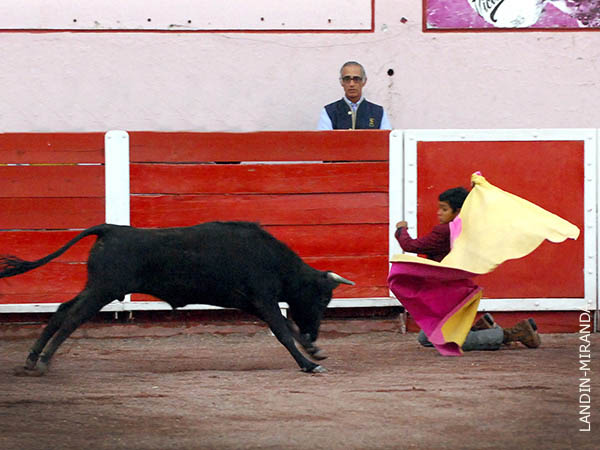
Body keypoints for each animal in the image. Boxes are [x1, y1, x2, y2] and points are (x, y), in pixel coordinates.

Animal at [0, 222, 354, 376]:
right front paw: (309, 364)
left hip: (96, 287)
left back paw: (32, 359)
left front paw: (313, 351)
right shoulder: (264, 299)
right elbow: (282, 331)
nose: (315, 334)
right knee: (73, 318)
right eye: (324, 299)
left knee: (62, 310)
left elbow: (287, 327)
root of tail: (111, 228)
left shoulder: (258, 303)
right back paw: (43, 362)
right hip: (104, 290)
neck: (275, 260)